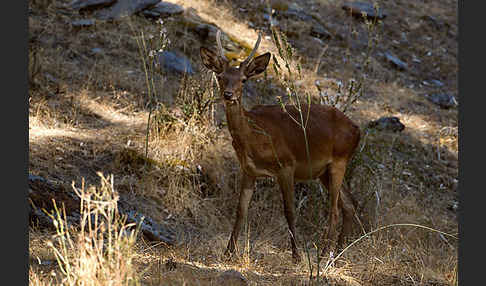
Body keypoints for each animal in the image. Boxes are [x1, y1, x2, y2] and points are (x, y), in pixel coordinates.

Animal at [199, 30, 362, 262]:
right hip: (324, 171)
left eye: (243, 79)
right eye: (220, 77)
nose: (228, 95)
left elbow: (289, 210)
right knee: (350, 204)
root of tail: (357, 130)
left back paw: (323, 254)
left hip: (340, 160)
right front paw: (228, 253)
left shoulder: (286, 164)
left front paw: (296, 256)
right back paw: (336, 254)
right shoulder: (249, 170)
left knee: (335, 209)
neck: (254, 138)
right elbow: (240, 211)